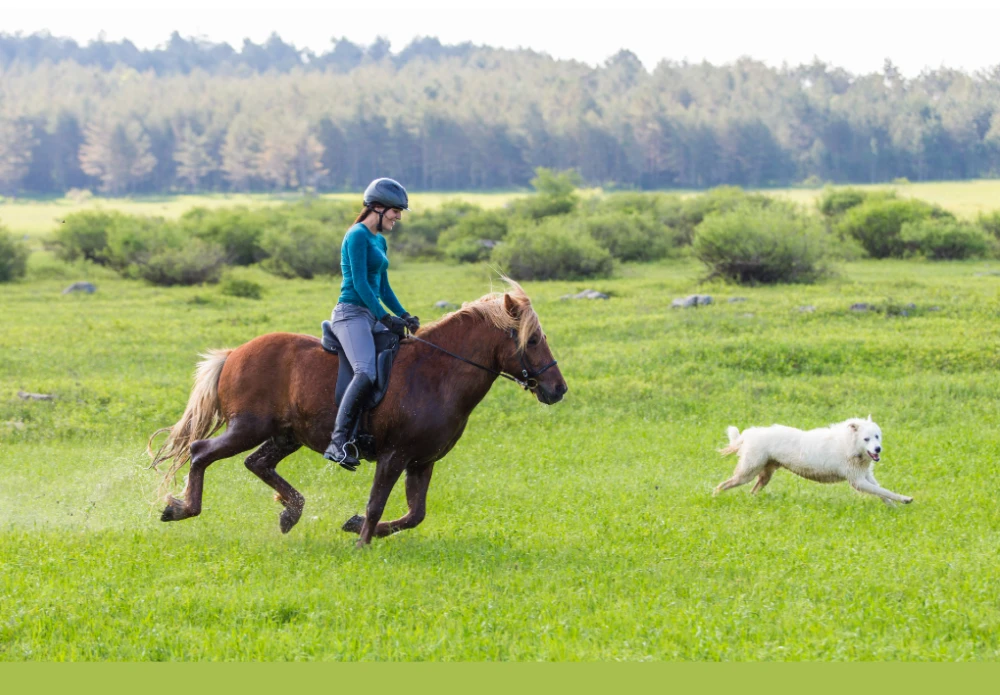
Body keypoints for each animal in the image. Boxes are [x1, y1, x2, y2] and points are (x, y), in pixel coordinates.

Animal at [148, 278, 568, 547]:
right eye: (532, 340)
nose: (558, 389)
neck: (437, 373)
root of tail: (234, 354)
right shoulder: (394, 455)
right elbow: (377, 502)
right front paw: (362, 543)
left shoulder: (422, 461)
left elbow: (414, 514)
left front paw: (355, 527)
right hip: (248, 427)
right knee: (201, 452)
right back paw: (181, 508)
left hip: (286, 435)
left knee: (257, 463)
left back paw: (290, 512)